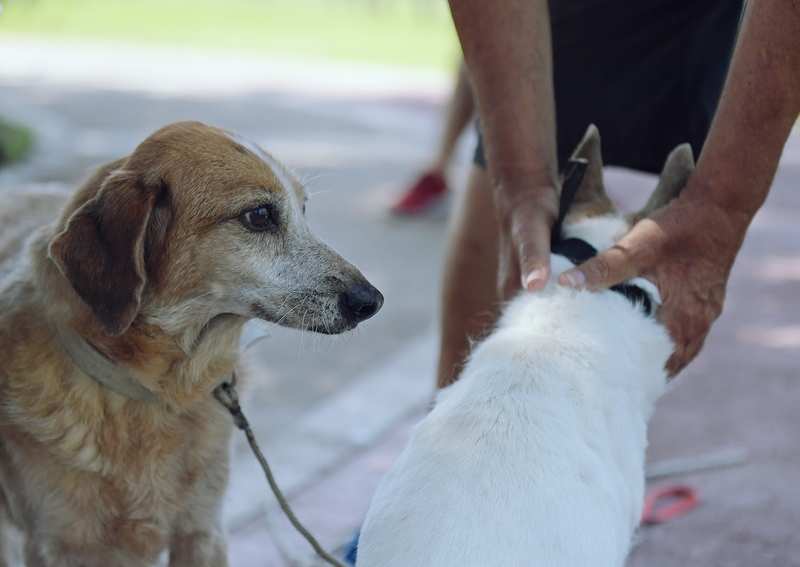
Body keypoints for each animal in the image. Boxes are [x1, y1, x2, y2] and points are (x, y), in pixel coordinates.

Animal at [0, 123, 384, 567]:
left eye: (303, 210)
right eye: (259, 215)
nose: (372, 301)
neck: (157, 393)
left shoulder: (202, 530)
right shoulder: (55, 545)